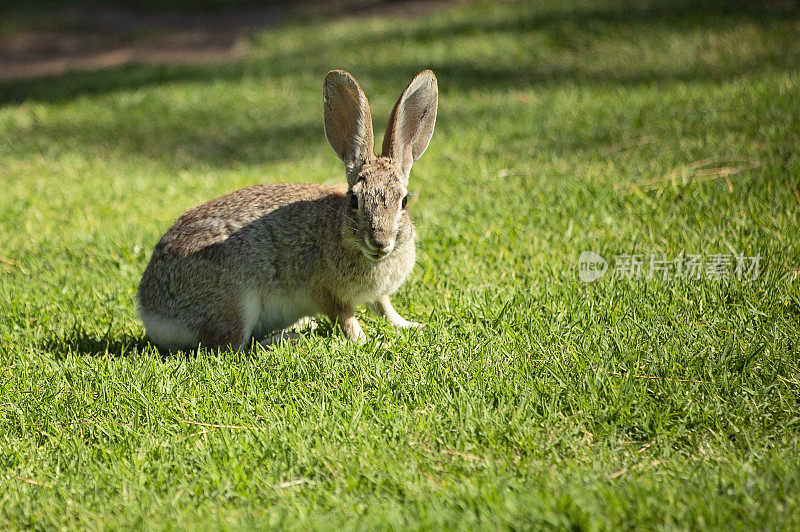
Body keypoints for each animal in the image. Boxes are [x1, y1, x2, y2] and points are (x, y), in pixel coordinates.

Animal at [138, 68, 438, 352]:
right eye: (355, 200)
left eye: (404, 201)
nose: (379, 242)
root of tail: (149, 311)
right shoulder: (327, 293)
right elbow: (346, 320)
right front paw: (368, 342)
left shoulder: (377, 295)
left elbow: (385, 308)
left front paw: (411, 325)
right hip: (236, 302)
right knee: (232, 347)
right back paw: (289, 338)